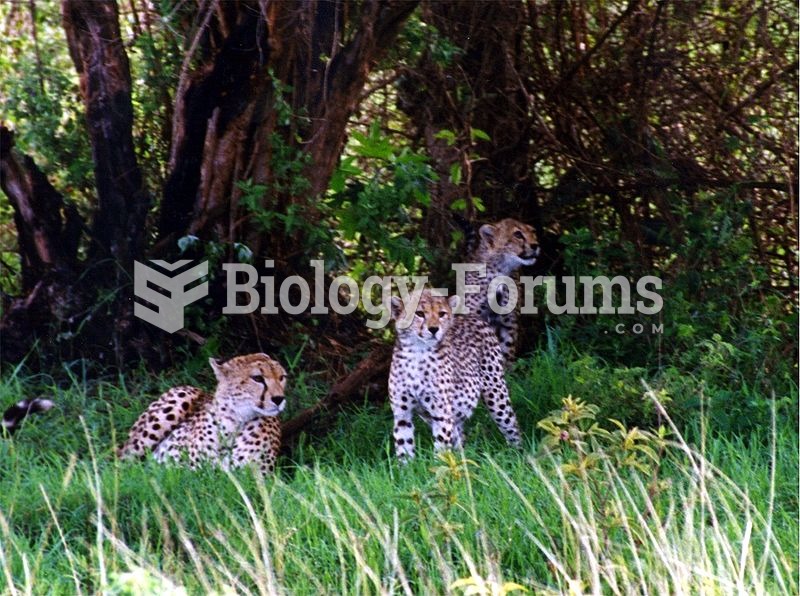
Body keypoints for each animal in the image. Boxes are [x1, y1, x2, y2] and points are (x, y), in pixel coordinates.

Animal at [390, 288, 524, 460]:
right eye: (419, 313)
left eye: (441, 313)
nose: (434, 329)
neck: (417, 352)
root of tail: (474, 317)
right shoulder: (402, 414)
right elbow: (404, 447)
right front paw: (408, 466)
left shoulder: (441, 414)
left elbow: (441, 449)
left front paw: (438, 465)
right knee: (460, 439)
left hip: (496, 395)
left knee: (512, 426)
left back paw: (519, 455)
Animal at [460, 218, 540, 364]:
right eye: (518, 234)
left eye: (533, 232)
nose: (535, 245)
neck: (501, 270)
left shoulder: (509, 323)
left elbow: (507, 350)